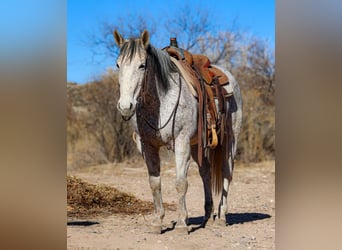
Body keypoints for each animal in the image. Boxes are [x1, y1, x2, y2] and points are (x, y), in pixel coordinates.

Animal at [113, 30, 242, 233]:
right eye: (118, 65)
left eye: (142, 65)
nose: (126, 106)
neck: (161, 101)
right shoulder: (147, 146)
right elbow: (154, 183)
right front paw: (157, 222)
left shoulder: (181, 142)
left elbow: (181, 183)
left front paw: (182, 223)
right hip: (198, 145)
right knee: (205, 173)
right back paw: (207, 216)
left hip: (230, 141)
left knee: (226, 172)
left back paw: (221, 217)